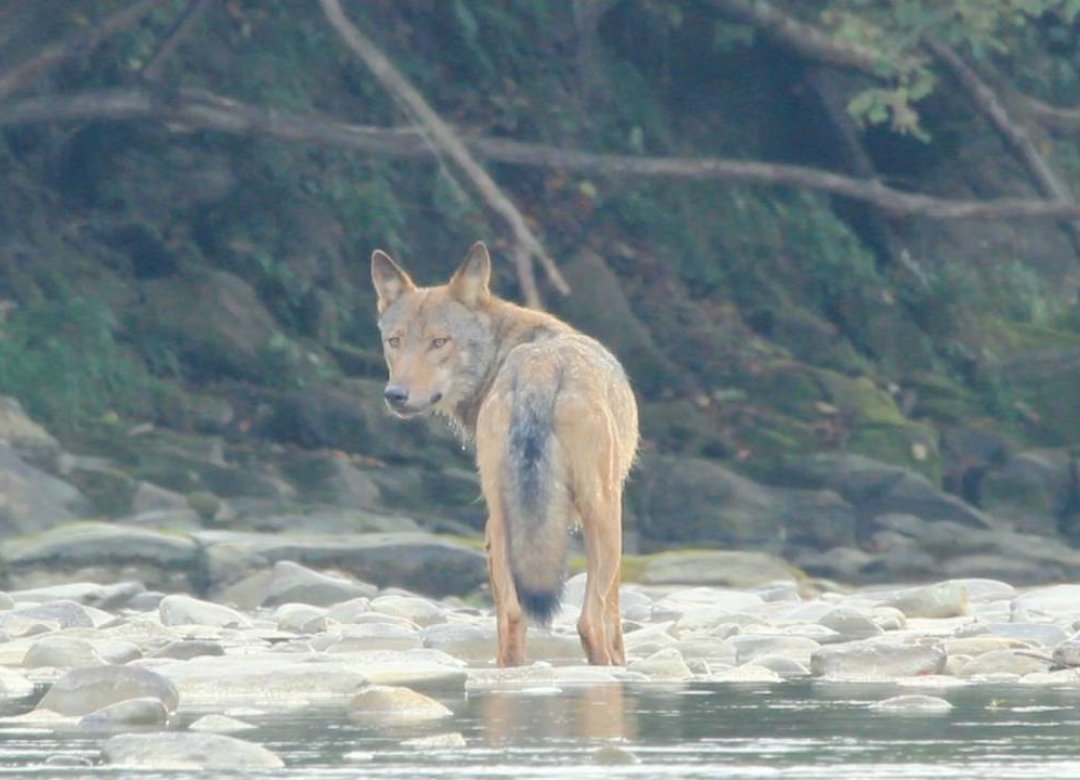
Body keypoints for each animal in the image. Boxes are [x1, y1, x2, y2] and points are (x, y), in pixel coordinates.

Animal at [370, 241, 638, 666]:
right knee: (589, 621)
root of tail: (539, 368)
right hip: (603, 516)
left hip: (499, 518)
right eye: (395, 341)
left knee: (512, 616)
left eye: (439, 342)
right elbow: (614, 617)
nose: (395, 395)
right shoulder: (612, 509)